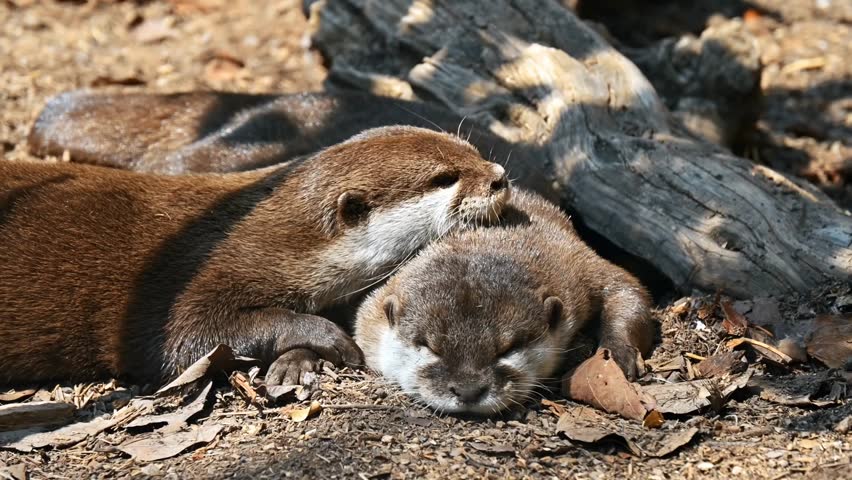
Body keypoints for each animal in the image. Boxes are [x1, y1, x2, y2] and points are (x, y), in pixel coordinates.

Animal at [0, 126, 510, 387]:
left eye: (471, 150)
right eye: (444, 178)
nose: (498, 177)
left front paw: (296, 363)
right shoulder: (186, 281)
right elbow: (185, 339)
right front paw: (328, 339)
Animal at [354, 190, 652, 415]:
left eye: (508, 349)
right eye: (430, 347)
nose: (469, 390)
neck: (482, 236)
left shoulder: (576, 266)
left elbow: (626, 285)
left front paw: (617, 353)